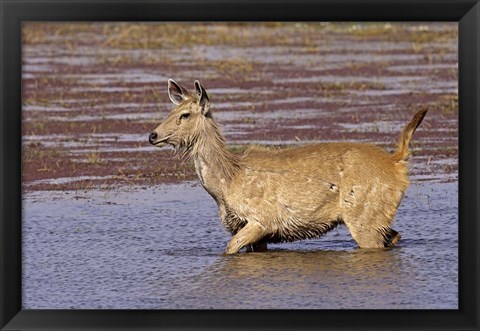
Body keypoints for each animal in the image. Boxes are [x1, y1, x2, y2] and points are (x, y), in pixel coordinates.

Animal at [150, 79, 428, 255]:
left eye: (185, 114)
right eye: (170, 110)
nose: (153, 135)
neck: (226, 184)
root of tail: (396, 163)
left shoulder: (262, 220)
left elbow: (229, 249)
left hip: (364, 216)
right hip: (376, 215)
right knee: (395, 235)